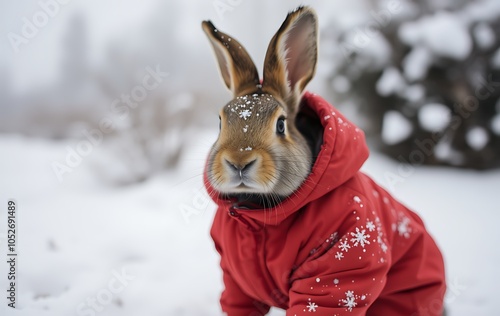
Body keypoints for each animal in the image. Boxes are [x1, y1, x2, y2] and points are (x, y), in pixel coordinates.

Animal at [201, 5, 444, 316]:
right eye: (220, 122)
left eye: (281, 124)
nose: (239, 162)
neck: (258, 213)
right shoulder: (235, 276)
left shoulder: (341, 258)